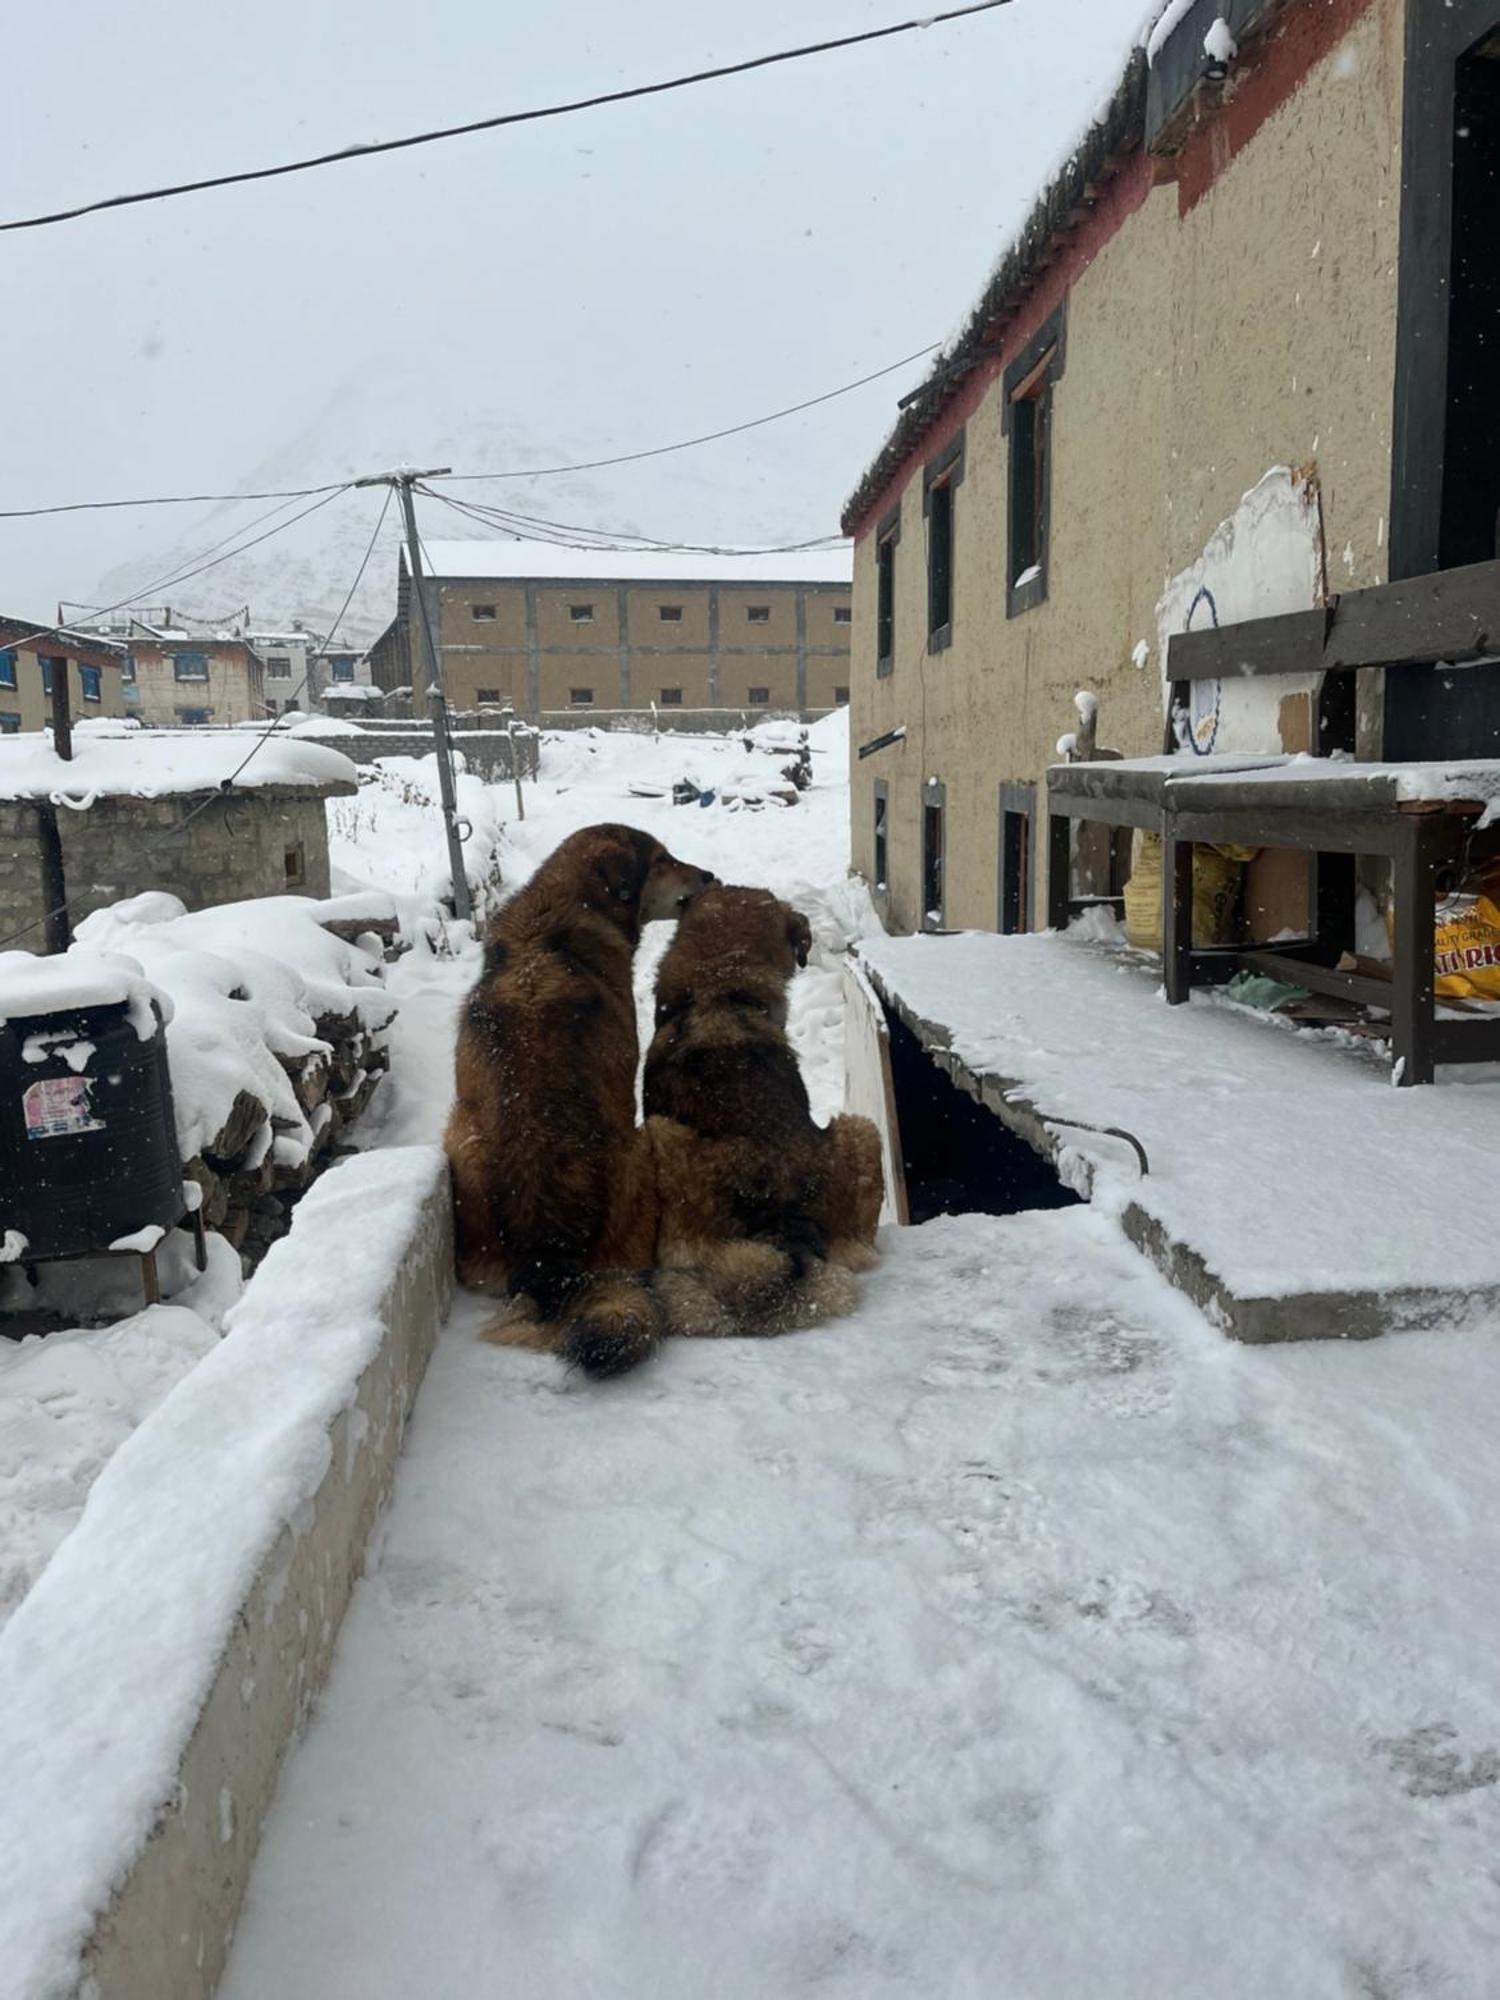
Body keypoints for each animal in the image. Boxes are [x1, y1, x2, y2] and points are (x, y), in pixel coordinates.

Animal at [444, 820, 712, 1368]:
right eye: (662, 860)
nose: (710, 877)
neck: (554, 915)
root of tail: (550, 1260)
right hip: (640, 1146)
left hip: (460, 1137)